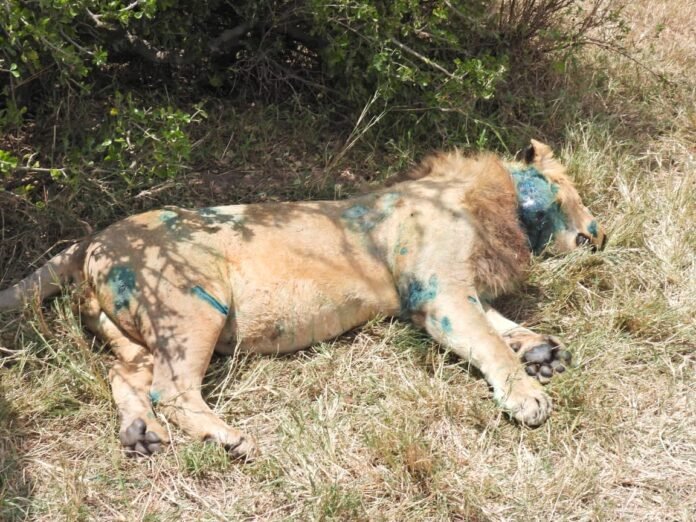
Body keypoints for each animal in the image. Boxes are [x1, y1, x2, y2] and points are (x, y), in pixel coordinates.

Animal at [0, 140, 606, 459]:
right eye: (571, 191)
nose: (598, 236)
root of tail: (93, 239)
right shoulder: (437, 294)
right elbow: (489, 341)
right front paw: (526, 393)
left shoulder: (447, 293)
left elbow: (500, 325)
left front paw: (542, 352)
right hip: (195, 304)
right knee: (170, 390)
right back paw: (227, 438)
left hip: (134, 333)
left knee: (125, 375)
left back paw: (140, 435)